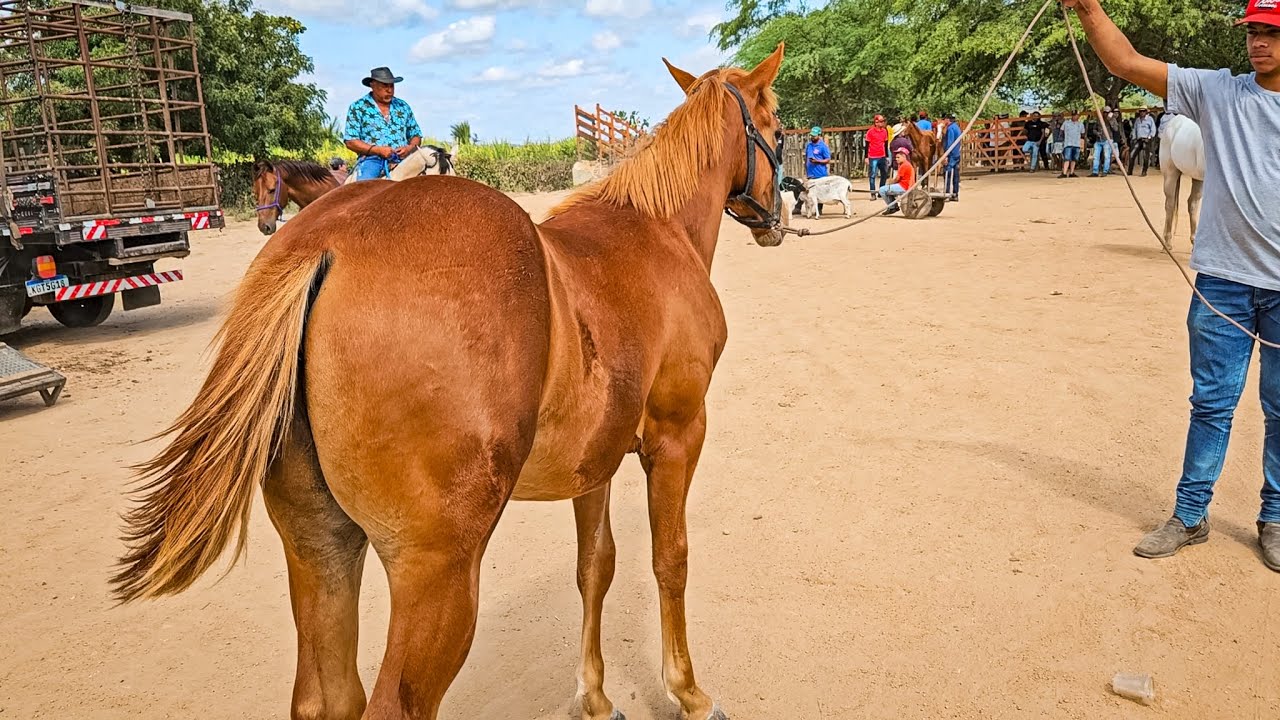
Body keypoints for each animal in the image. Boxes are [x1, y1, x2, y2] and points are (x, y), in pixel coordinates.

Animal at [111, 44, 788, 720]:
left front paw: (595, 696)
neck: (657, 231)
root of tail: (327, 239)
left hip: (319, 547)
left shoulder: (594, 461)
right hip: (438, 575)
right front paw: (689, 691)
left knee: (327, 697)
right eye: (779, 128)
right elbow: (670, 559)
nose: (782, 210)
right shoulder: (677, 436)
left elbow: (595, 567)